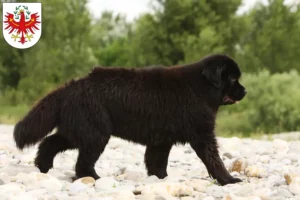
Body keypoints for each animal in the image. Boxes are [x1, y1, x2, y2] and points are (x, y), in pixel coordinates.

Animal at [13, 54, 246, 185]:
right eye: (233, 78)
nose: (245, 90)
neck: (200, 88)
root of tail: (71, 86)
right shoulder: (202, 135)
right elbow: (214, 160)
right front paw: (229, 180)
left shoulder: (161, 140)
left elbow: (157, 163)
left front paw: (160, 179)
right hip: (95, 133)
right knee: (82, 161)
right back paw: (93, 178)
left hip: (79, 130)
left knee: (49, 142)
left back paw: (43, 167)